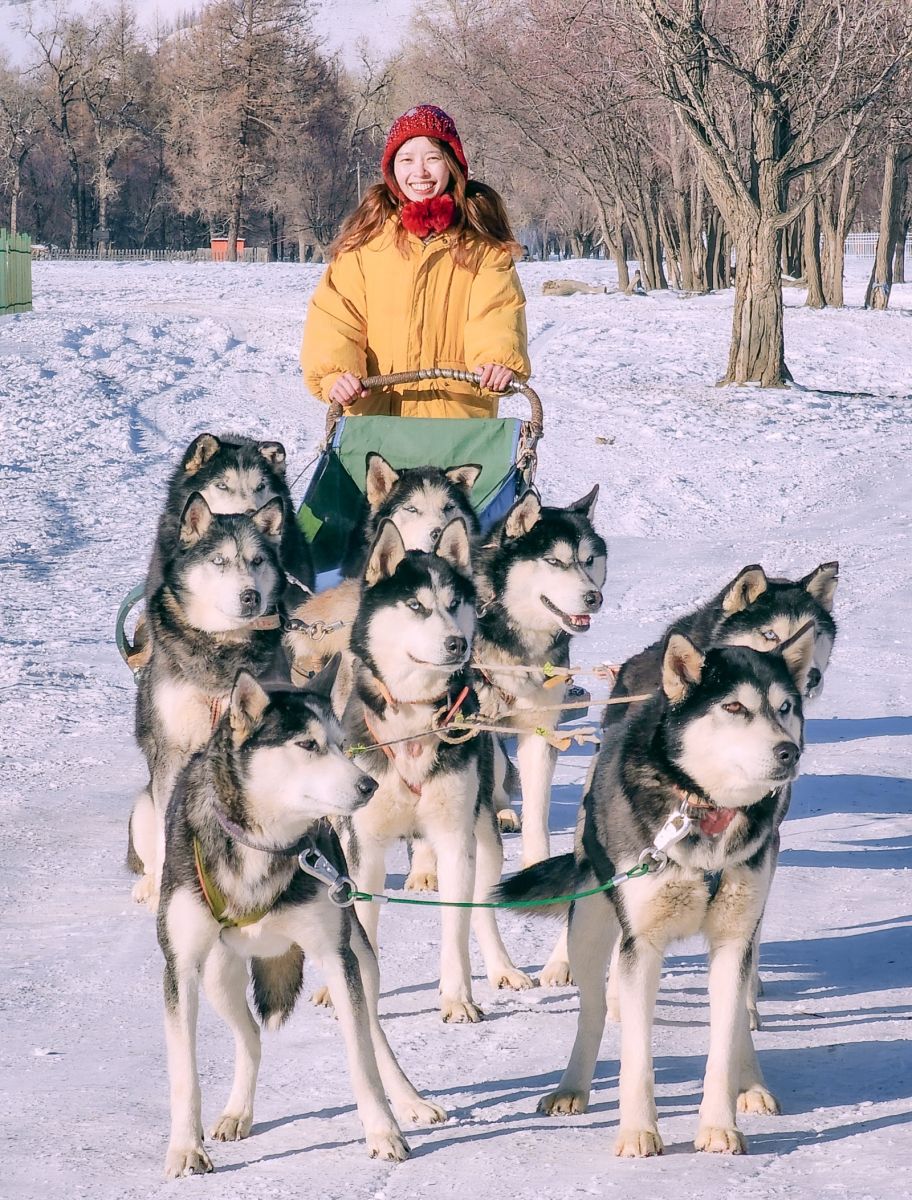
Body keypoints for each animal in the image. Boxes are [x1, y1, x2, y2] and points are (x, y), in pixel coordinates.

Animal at [128, 492, 285, 902]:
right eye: (219, 561)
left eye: (257, 561)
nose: (251, 596)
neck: (222, 647)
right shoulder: (172, 752)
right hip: (143, 805)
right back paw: (149, 884)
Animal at [157, 662, 446, 1176]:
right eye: (307, 745)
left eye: (339, 742)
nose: (368, 786)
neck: (264, 846)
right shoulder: (181, 970)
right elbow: (184, 1074)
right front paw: (186, 1149)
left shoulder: (335, 956)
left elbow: (361, 1060)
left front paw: (383, 1131)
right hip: (217, 977)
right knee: (250, 1035)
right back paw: (237, 1111)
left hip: (359, 959)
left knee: (374, 1033)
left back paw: (409, 1100)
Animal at [338, 516, 530, 1022]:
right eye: (415, 605)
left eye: (454, 603)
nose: (457, 643)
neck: (413, 723)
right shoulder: (365, 849)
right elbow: (362, 927)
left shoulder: (453, 841)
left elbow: (456, 928)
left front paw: (458, 997)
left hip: (483, 837)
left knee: (480, 908)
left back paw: (503, 967)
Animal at [494, 633, 816, 1156]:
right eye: (734, 707)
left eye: (785, 707)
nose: (789, 751)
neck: (705, 813)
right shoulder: (640, 945)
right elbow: (636, 1056)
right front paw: (638, 1131)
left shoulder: (732, 942)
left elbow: (723, 1044)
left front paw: (719, 1127)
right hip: (590, 928)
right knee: (594, 1011)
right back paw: (572, 1087)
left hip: (748, 930)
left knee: (739, 1019)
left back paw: (751, 1084)